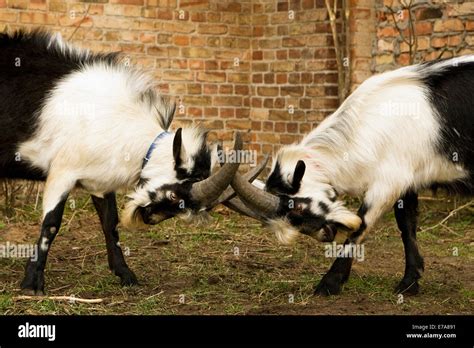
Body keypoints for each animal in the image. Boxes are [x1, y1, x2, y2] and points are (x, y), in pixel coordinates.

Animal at [0, 31, 241, 294]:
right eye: (175, 195)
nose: (149, 218)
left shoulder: (99, 179)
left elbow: (110, 223)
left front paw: (125, 274)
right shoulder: (62, 172)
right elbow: (51, 224)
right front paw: (32, 283)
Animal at [233, 57, 474, 296]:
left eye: (298, 208)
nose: (326, 234)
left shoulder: (388, 182)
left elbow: (361, 225)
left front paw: (328, 283)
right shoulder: (407, 181)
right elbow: (407, 227)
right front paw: (409, 283)